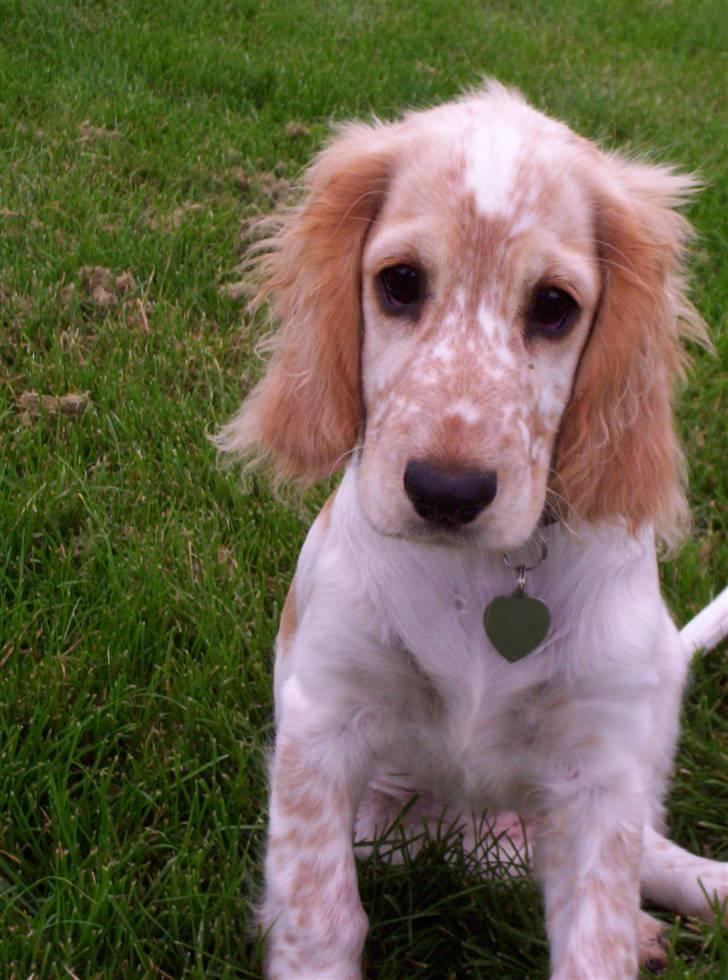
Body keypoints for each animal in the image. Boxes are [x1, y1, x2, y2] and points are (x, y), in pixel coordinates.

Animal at [218, 84, 728, 980]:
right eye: (399, 284)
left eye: (554, 307)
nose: (446, 492)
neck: (487, 579)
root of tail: (469, 844)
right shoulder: (321, 724)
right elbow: (322, 916)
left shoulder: (601, 774)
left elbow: (596, 939)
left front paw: (625, 931)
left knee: (653, 849)